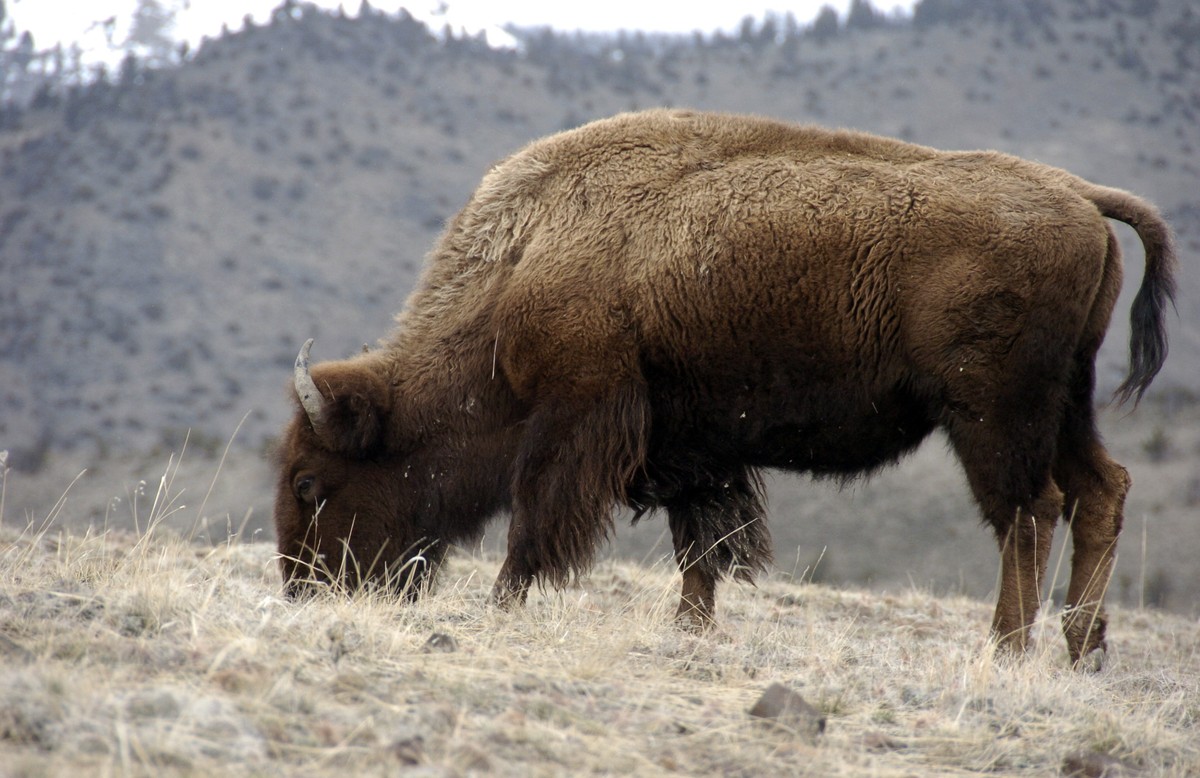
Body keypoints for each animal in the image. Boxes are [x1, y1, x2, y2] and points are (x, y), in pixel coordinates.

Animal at [273, 109, 1175, 667]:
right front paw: (691, 630)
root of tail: (1079, 194)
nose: (302, 591)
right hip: (1068, 405)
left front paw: (502, 607)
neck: (526, 260)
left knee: (1031, 511)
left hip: (993, 415)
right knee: (1101, 491)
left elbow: (536, 529)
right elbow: (703, 545)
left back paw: (1008, 649)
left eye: (310, 483)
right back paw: (1082, 649)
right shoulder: (692, 445)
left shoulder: (577, 419)